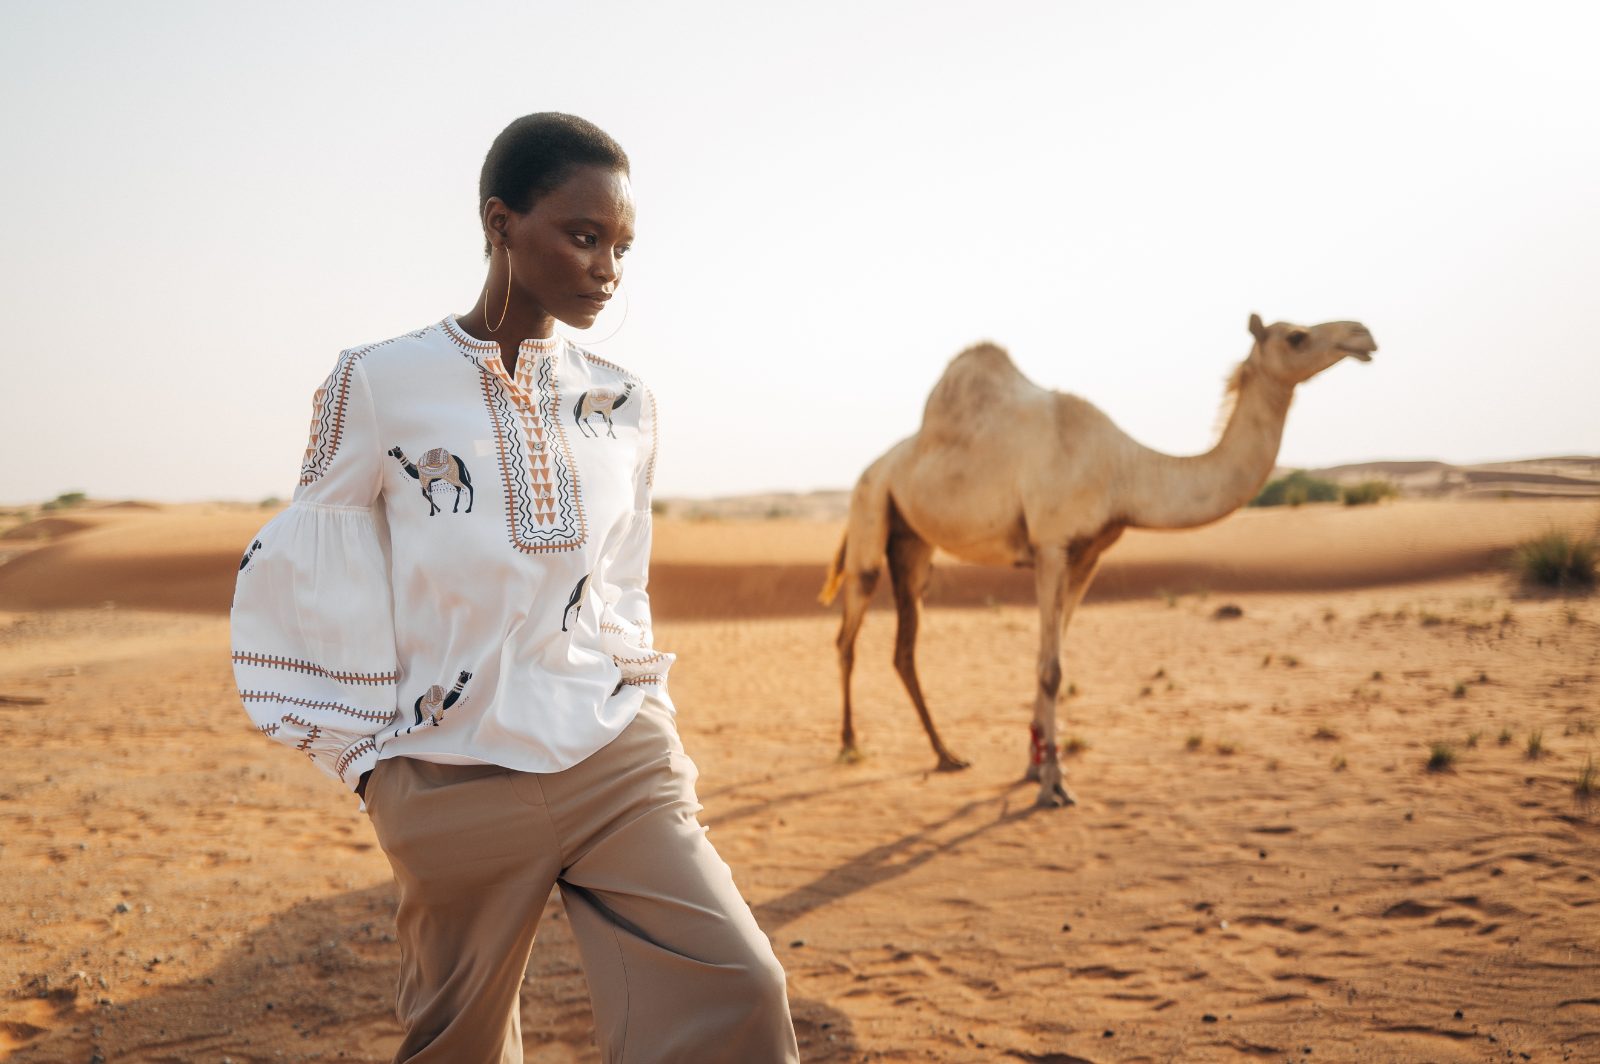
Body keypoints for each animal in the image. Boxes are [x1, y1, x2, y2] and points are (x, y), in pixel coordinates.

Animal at [820, 314, 1377, 808]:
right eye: (1297, 336)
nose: (1363, 334)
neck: (1123, 471)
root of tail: (870, 469)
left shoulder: (1089, 552)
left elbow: (1051, 655)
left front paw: (1035, 764)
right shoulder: (1051, 545)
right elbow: (1050, 669)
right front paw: (1052, 786)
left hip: (913, 544)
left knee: (904, 648)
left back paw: (945, 754)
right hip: (870, 511)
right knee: (848, 634)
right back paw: (850, 744)